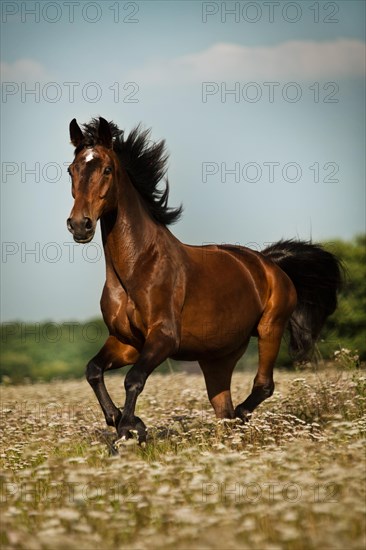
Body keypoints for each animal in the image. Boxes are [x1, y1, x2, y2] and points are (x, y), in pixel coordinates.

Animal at [67, 117, 342, 444]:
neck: (137, 268)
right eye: (71, 170)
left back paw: (242, 417)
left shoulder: (164, 338)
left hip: (269, 330)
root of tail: (269, 264)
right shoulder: (126, 343)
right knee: (223, 407)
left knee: (262, 387)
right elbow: (93, 370)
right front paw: (117, 418)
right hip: (217, 358)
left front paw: (130, 429)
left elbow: (133, 379)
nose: (79, 225)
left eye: (107, 169)